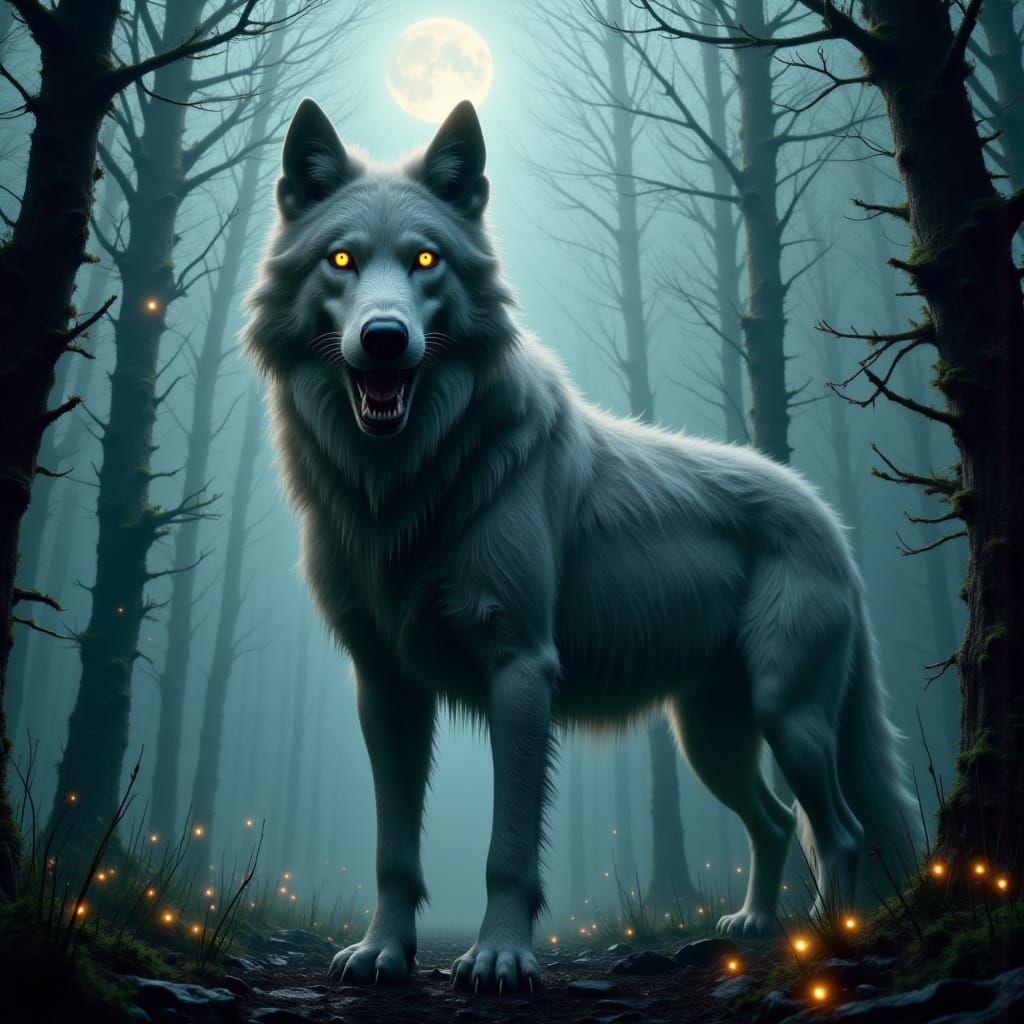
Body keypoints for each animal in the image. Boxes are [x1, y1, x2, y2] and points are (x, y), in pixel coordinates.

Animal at [243, 98, 920, 993]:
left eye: (425, 260)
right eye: (341, 260)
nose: (384, 337)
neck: (409, 482)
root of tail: (827, 520)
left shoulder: (522, 668)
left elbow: (507, 850)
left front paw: (499, 959)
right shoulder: (385, 685)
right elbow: (396, 850)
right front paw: (383, 953)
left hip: (789, 717)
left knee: (840, 830)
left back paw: (826, 940)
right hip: (711, 741)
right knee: (777, 823)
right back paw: (757, 927)